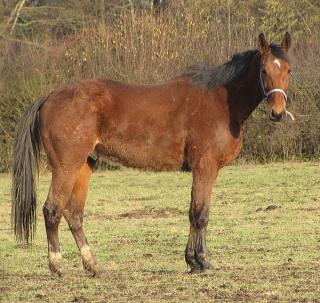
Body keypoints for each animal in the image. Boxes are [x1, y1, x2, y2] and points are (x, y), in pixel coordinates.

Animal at [11, 32, 292, 276]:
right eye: (264, 70)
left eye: (288, 70)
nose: (278, 113)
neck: (222, 102)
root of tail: (49, 96)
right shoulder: (205, 167)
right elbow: (200, 213)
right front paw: (201, 261)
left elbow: (193, 212)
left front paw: (192, 261)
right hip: (66, 167)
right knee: (52, 210)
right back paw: (58, 266)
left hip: (84, 166)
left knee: (74, 214)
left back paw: (93, 265)